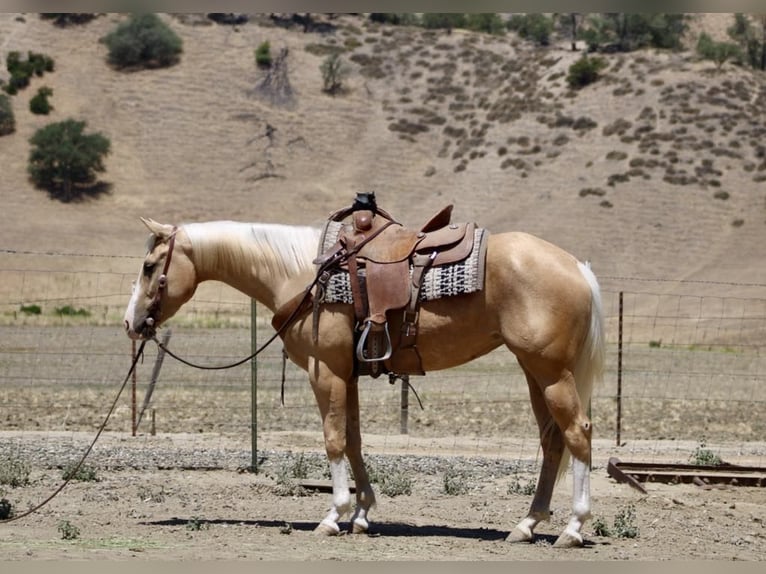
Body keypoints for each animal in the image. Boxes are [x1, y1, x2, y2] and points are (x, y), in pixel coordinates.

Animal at [123, 216, 605, 548]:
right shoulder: (346, 375)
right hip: (534, 371)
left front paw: (332, 516)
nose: (131, 323)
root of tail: (578, 268)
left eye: (149, 266)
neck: (302, 274)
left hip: (551, 371)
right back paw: (527, 524)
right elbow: (353, 439)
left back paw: (573, 528)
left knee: (577, 433)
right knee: (552, 441)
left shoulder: (326, 371)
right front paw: (361, 514)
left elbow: (334, 440)